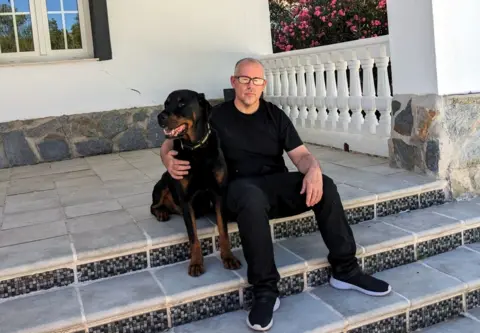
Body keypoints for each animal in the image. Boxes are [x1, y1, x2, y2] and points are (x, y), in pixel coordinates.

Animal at [151, 89, 242, 276]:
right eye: (166, 103)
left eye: (181, 103)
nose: (160, 116)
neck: (195, 148)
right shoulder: (186, 199)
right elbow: (193, 236)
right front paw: (196, 263)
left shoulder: (218, 193)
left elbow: (223, 230)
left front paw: (228, 257)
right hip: (163, 182)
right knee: (153, 206)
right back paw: (162, 212)